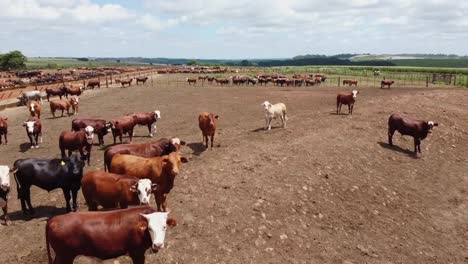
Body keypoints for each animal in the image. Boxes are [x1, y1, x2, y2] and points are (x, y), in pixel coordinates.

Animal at [46, 206, 177, 264]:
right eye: (150, 228)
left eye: (164, 227)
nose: (158, 245)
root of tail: (54, 219)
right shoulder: (137, 253)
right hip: (65, 256)